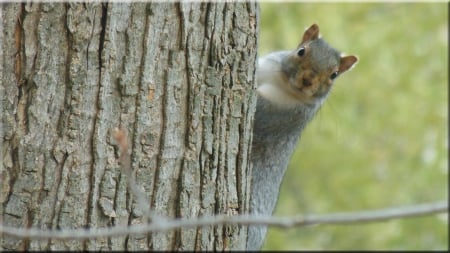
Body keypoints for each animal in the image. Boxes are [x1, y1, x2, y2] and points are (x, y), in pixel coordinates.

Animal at [246, 23, 358, 249]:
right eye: (301, 51)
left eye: (334, 74)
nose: (307, 80)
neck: (281, 82)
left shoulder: (282, 115)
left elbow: (259, 110)